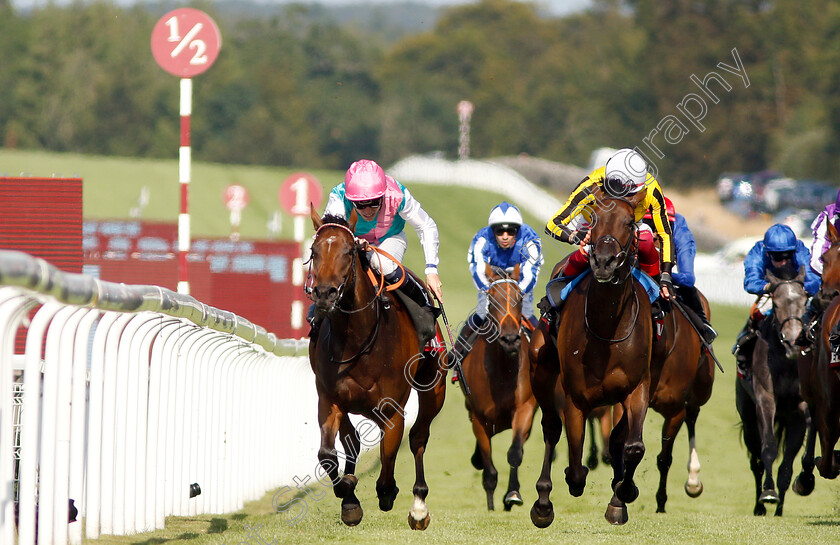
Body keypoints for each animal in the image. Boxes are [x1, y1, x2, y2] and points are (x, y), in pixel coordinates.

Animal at [304, 207, 446, 528]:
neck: (357, 339)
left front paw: (388, 491)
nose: (325, 293)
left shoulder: (392, 409)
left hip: (434, 389)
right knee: (352, 441)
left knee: (418, 436)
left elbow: (389, 457)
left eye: (348, 251)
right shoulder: (329, 398)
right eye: (314, 251)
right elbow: (328, 454)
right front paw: (348, 497)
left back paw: (419, 505)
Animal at [460, 264, 540, 510]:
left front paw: (512, 494)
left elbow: (515, 452)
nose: (510, 339)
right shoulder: (479, 417)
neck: (502, 369)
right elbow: (489, 471)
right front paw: (490, 506)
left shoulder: (524, 408)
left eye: (519, 297)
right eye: (492, 299)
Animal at [528, 189, 652, 524]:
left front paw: (624, 493)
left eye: (629, 222)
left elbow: (633, 447)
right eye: (594, 219)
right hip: (542, 367)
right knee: (551, 428)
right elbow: (574, 466)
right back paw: (542, 503)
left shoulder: (636, 387)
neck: (607, 327)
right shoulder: (575, 397)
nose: (604, 262)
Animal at [740, 266, 812, 516]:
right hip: (748, 417)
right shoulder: (765, 398)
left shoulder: (799, 408)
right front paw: (768, 493)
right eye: (777, 304)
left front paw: (780, 506)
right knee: (756, 462)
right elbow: (769, 447)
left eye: (804, 301)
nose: (793, 342)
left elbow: (788, 462)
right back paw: (758, 506)